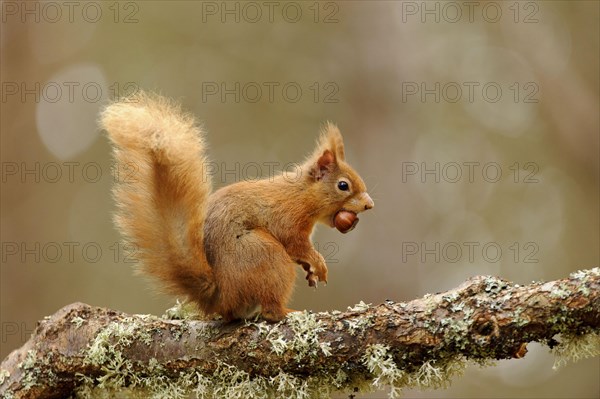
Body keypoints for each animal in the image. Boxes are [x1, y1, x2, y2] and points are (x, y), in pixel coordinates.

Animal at [102, 93, 372, 322]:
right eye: (343, 185)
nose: (369, 204)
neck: (301, 194)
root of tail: (221, 296)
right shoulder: (288, 218)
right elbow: (296, 244)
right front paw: (318, 263)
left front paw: (311, 271)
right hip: (267, 257)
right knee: (270, 310)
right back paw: (288, 312)